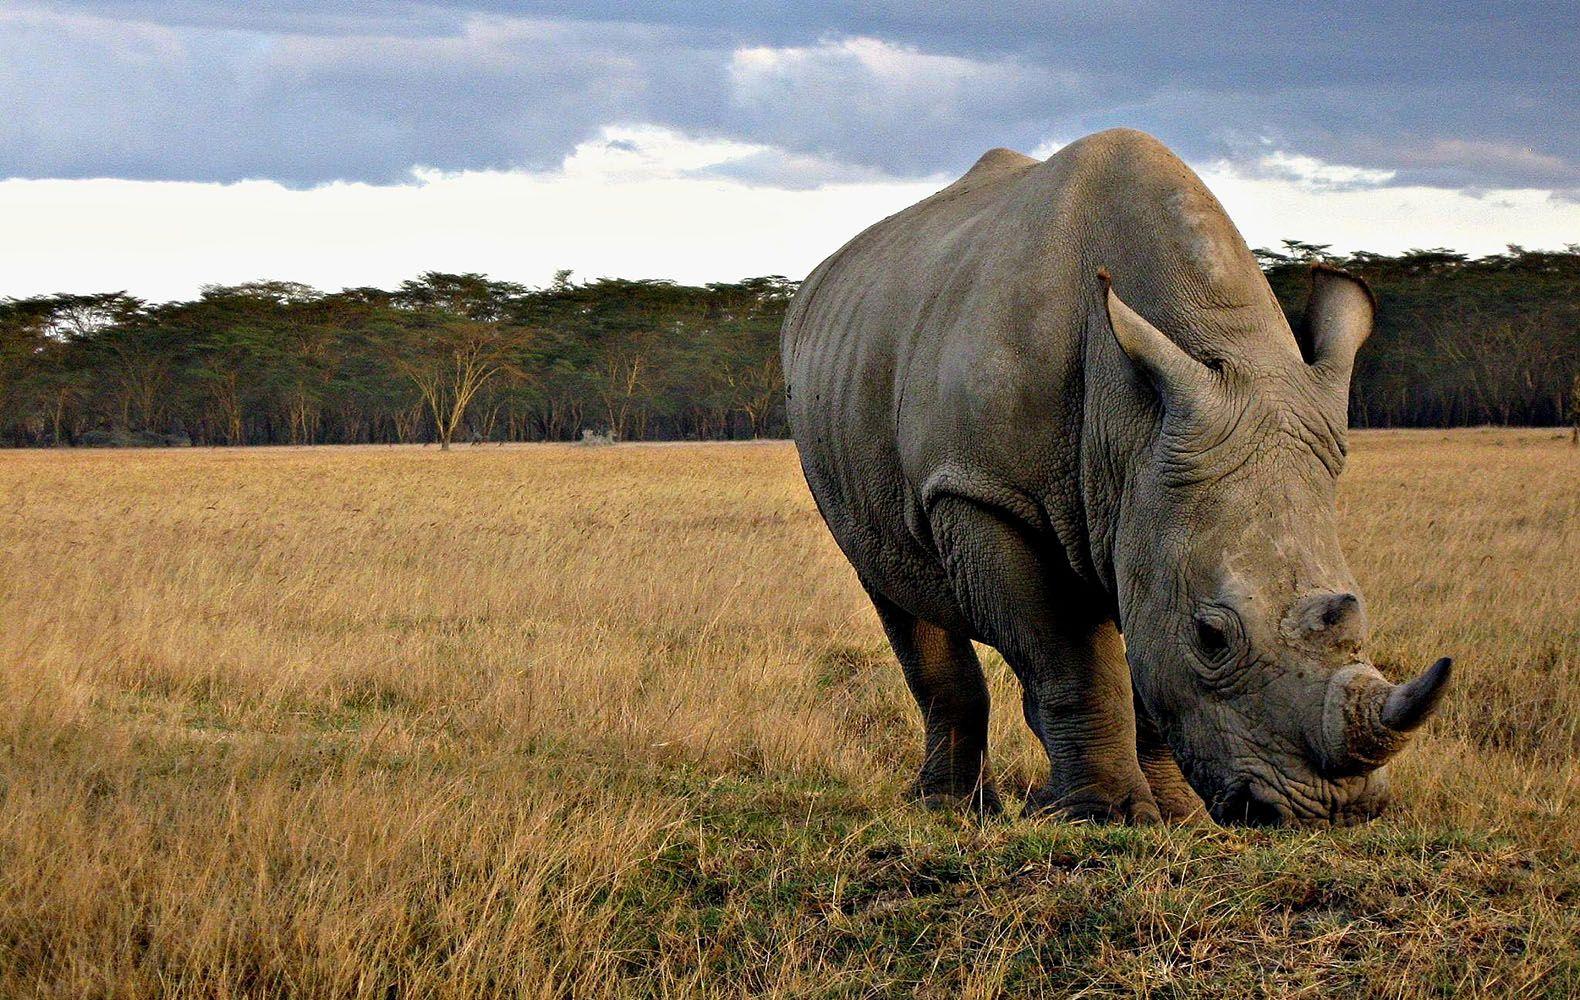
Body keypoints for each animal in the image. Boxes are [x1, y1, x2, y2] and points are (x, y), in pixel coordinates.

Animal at [781, 128, 1451, 826]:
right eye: (1211, 636)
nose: (1330, 810)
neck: (1132, 424)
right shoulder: (984, 491)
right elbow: (1070, 658)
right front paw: (1109, 814)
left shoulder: (1152, 488)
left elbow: (1146, 667)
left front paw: (1177, 815)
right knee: (894, 588)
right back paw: (951, 807)